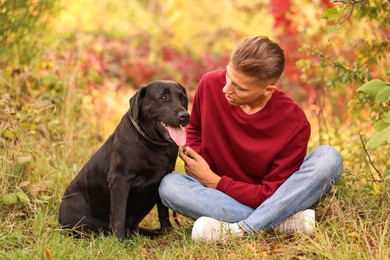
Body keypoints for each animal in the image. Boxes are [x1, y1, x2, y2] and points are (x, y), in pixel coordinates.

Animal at [58, 80, 190, 241]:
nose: (185, 115)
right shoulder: (120, 180)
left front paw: (168, 231)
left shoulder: (164, 177)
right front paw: (119, 240)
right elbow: (119, 215)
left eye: (182, 98)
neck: (153, 143)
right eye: (163, 97)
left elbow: (163, 211)